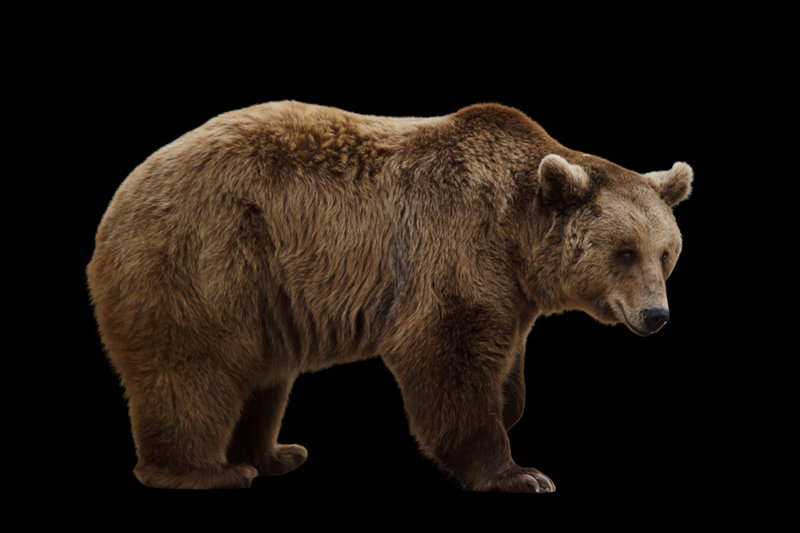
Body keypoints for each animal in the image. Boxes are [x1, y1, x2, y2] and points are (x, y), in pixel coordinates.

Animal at [87, 101, 692, 492]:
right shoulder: (454, 244)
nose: (656, 315)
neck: (515, 235)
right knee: (193, 369)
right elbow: (445, 352)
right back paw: (205, 471)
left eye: (666, 253)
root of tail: (122, 196)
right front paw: (519, 472)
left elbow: (505, 359)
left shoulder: (510, 289)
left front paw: (510, 407)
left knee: (261, 376)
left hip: (262, 294)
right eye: (624, 252)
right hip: (207, 259)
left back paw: (275, 454)